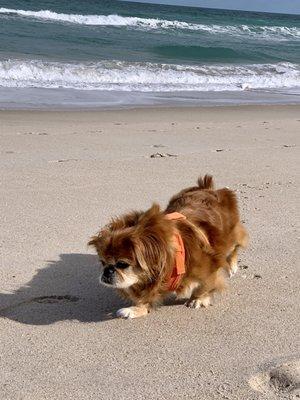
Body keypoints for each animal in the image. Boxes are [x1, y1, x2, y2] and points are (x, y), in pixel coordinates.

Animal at [89, 174, 248, 318]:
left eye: (122, 264)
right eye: (102, 262)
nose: (107, 271)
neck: (171, 257)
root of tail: (207, 188)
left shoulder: (211, 266)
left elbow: (206, 285)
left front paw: (198, 299)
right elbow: (146, 299)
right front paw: (136, 309)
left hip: (231, 236)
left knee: (235, 247)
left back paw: (232, 266)